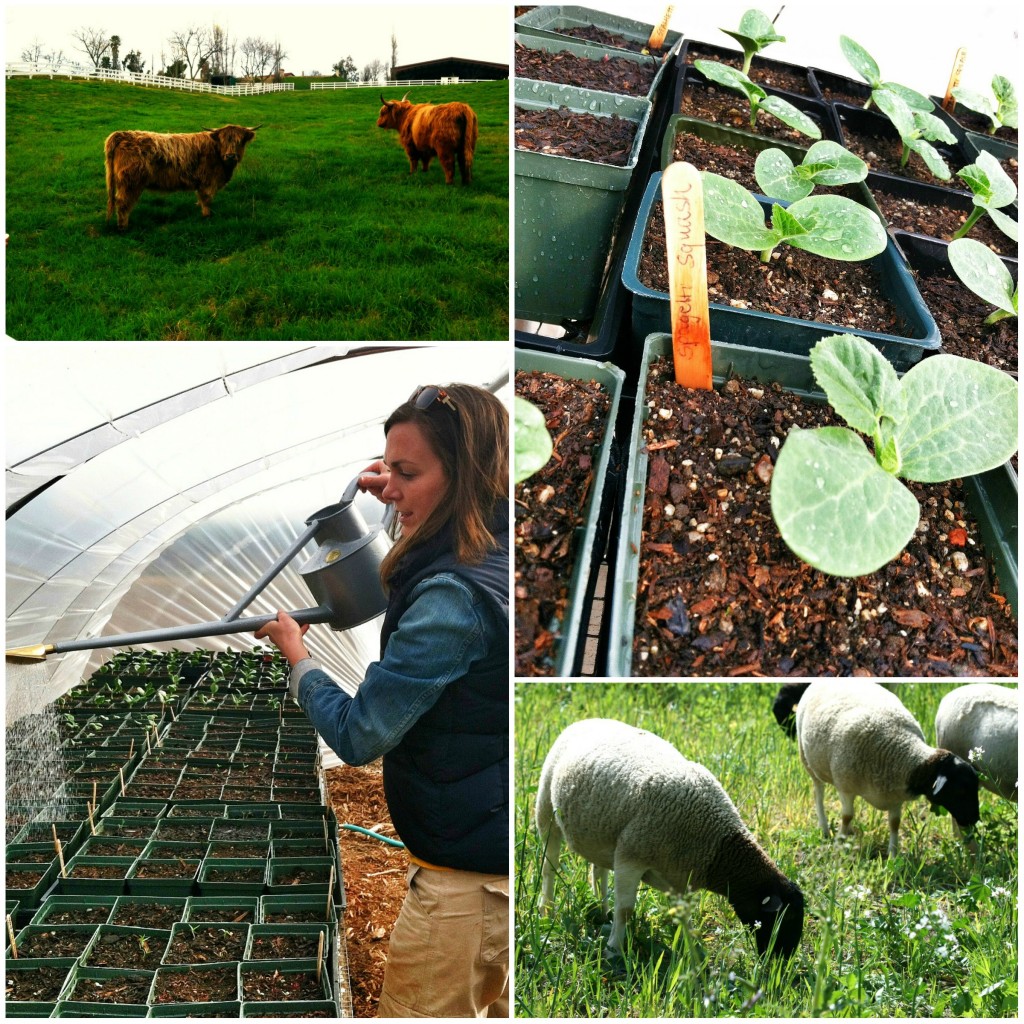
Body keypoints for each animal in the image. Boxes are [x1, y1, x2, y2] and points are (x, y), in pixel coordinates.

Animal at [103, 123, 260, 228]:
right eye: (222, 140)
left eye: (240, 141)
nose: (231, 156)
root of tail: (122, 134)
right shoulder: (208, 182)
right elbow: (206, 199)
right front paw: (206, 215)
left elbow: (200, 198)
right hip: (130, 182)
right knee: (122, 202)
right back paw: (123, 227)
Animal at [532, 720, 802, 958]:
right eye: (783, 919)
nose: (780, 963)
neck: (714, 843)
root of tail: (584, 720)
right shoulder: (631, 857)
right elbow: (626, 911)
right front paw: (614, 951)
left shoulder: (678, 876)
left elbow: (685, 918)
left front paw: (693, 955)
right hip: (546, 811)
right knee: (549, 867)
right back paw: (547, 911)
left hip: (603, 831)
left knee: (598, 870)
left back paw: (602, 911)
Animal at [794, 684, 978, 860]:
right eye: (960, 790)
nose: (975, 819)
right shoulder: (845, 786)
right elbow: (847, 816)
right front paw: (840, 844)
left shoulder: (895, 796)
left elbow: (894, 823)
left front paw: (893, 855)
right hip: (807, 760)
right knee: (818, 794)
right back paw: (824, 828)